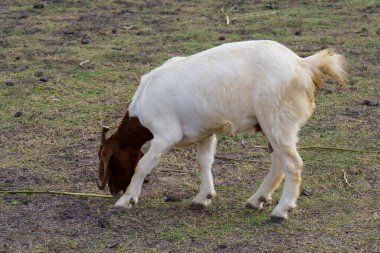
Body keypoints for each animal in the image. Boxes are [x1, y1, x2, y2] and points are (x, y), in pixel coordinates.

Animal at [98, 40, 348, 218]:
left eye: (111, 161)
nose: (114, 191)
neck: (142, 105)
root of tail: (302, 64)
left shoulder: (165, 135)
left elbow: (142, 165)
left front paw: (127, 200)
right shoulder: (205, 131)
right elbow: (204, 161)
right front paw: (203, 197)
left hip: (277, 119)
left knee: (292, 164)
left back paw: (281, 210)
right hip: (273, 123)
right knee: (279, 162)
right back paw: (257, 199)